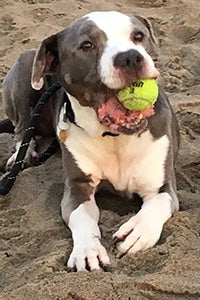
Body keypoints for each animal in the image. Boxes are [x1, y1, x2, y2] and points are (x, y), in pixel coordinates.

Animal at [1, 11, 180, 272]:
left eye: (138, 36)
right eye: (87, 45)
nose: (130, 57)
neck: (115, 137)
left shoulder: (161, 187)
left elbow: (157, 205)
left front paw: (137, 231)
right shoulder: (77, 187)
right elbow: (81, 217)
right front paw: (87, 250)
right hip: (24, 69)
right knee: (21, 127)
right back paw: (22, 153)